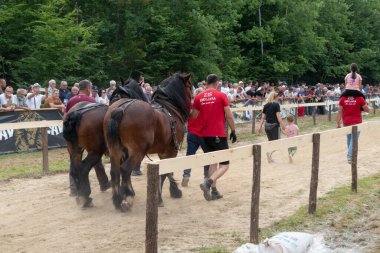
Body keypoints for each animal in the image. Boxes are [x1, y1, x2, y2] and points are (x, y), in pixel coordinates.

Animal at [62, 79, 147, 208]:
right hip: (95, 151)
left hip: (74, 149)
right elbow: (123, 170)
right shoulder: (125, 152)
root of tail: (75, 114)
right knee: (83, 168)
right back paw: (86, 197)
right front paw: (126, 194)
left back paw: (80, 195)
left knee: (75, 169)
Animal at [104, 72, 193, 211]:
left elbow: (165, 172)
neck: (170, 109)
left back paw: (117, 199)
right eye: (189, 86)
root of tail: (121, 108)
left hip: (115, 149)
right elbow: (165, 172)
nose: (193, 97)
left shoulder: (163, 151)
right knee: (125, 169)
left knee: (115, 171)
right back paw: (128, 197)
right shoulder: (171, 151)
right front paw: (165, 195)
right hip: (138, 151)